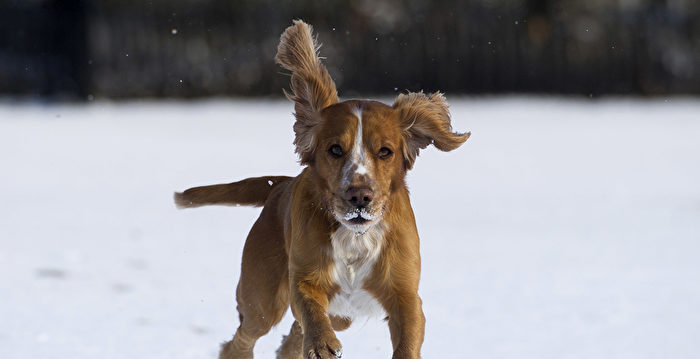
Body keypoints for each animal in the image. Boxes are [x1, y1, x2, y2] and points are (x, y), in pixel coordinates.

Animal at [175, 20, 470, 359]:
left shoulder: (405, 292)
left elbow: (408, 332)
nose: (360, 196)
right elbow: (310, 309)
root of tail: (280, 186)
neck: (356, 237)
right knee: (245, 337)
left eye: (385, 151)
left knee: (290, 338)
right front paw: (322, 344)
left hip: (340, 315)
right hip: (262, 297)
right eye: (335, 149)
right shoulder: (304, 278)